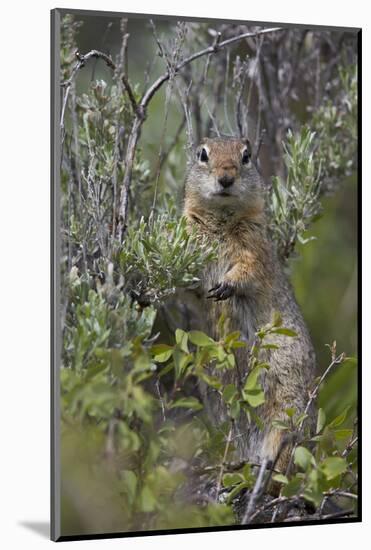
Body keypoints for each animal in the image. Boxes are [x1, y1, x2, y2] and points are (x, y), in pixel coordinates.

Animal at [183, 137, 316, 478]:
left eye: (246, 156)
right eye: (203, 154)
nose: (226, 177)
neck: (221, 219)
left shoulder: (255, 244)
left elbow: (248, 268)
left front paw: (226, 286)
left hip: (288, 406)